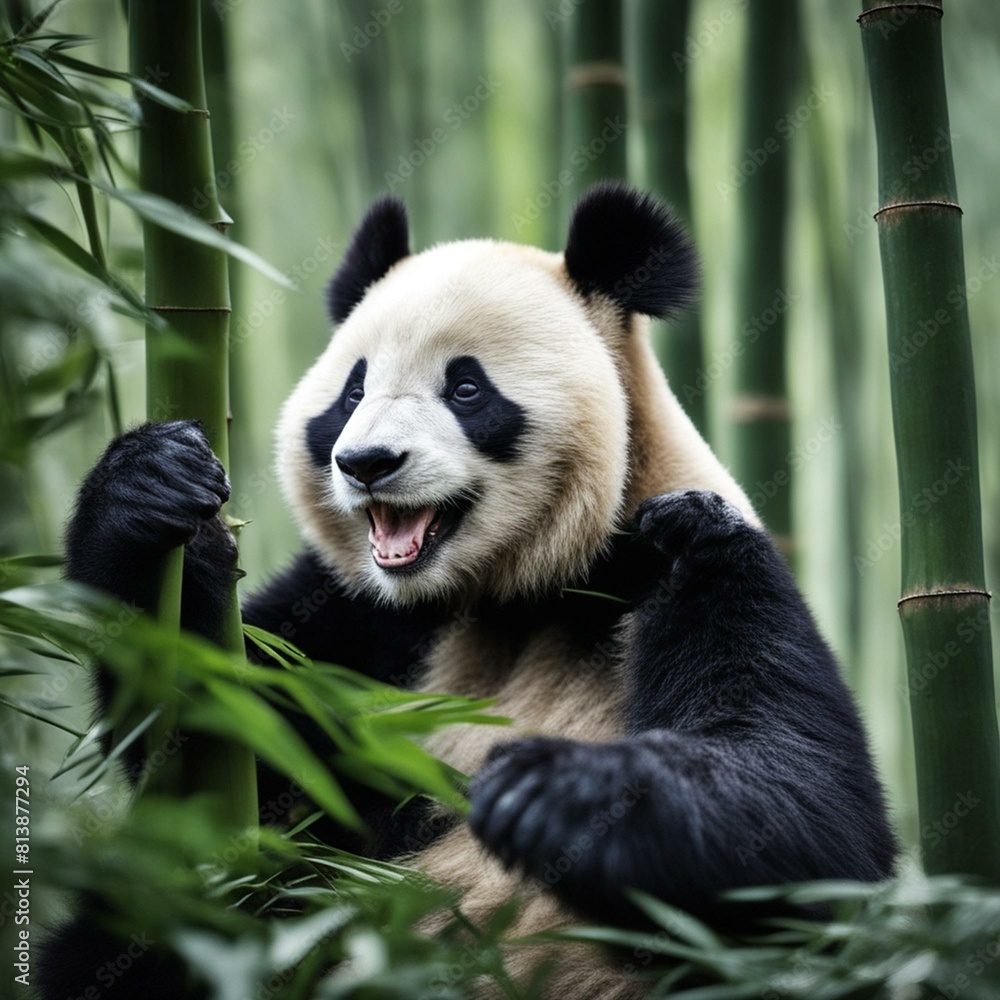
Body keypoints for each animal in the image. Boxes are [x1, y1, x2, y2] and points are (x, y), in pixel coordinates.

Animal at [41, 183, 895, 1000]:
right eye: (352, 393)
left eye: (465, 388)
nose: (368, 463)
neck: (512, 589)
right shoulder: (363, 617)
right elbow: (229, 746)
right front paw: (151, 484)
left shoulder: (692, 554)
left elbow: (808, 812)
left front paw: (555, 791)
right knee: (136, 927)